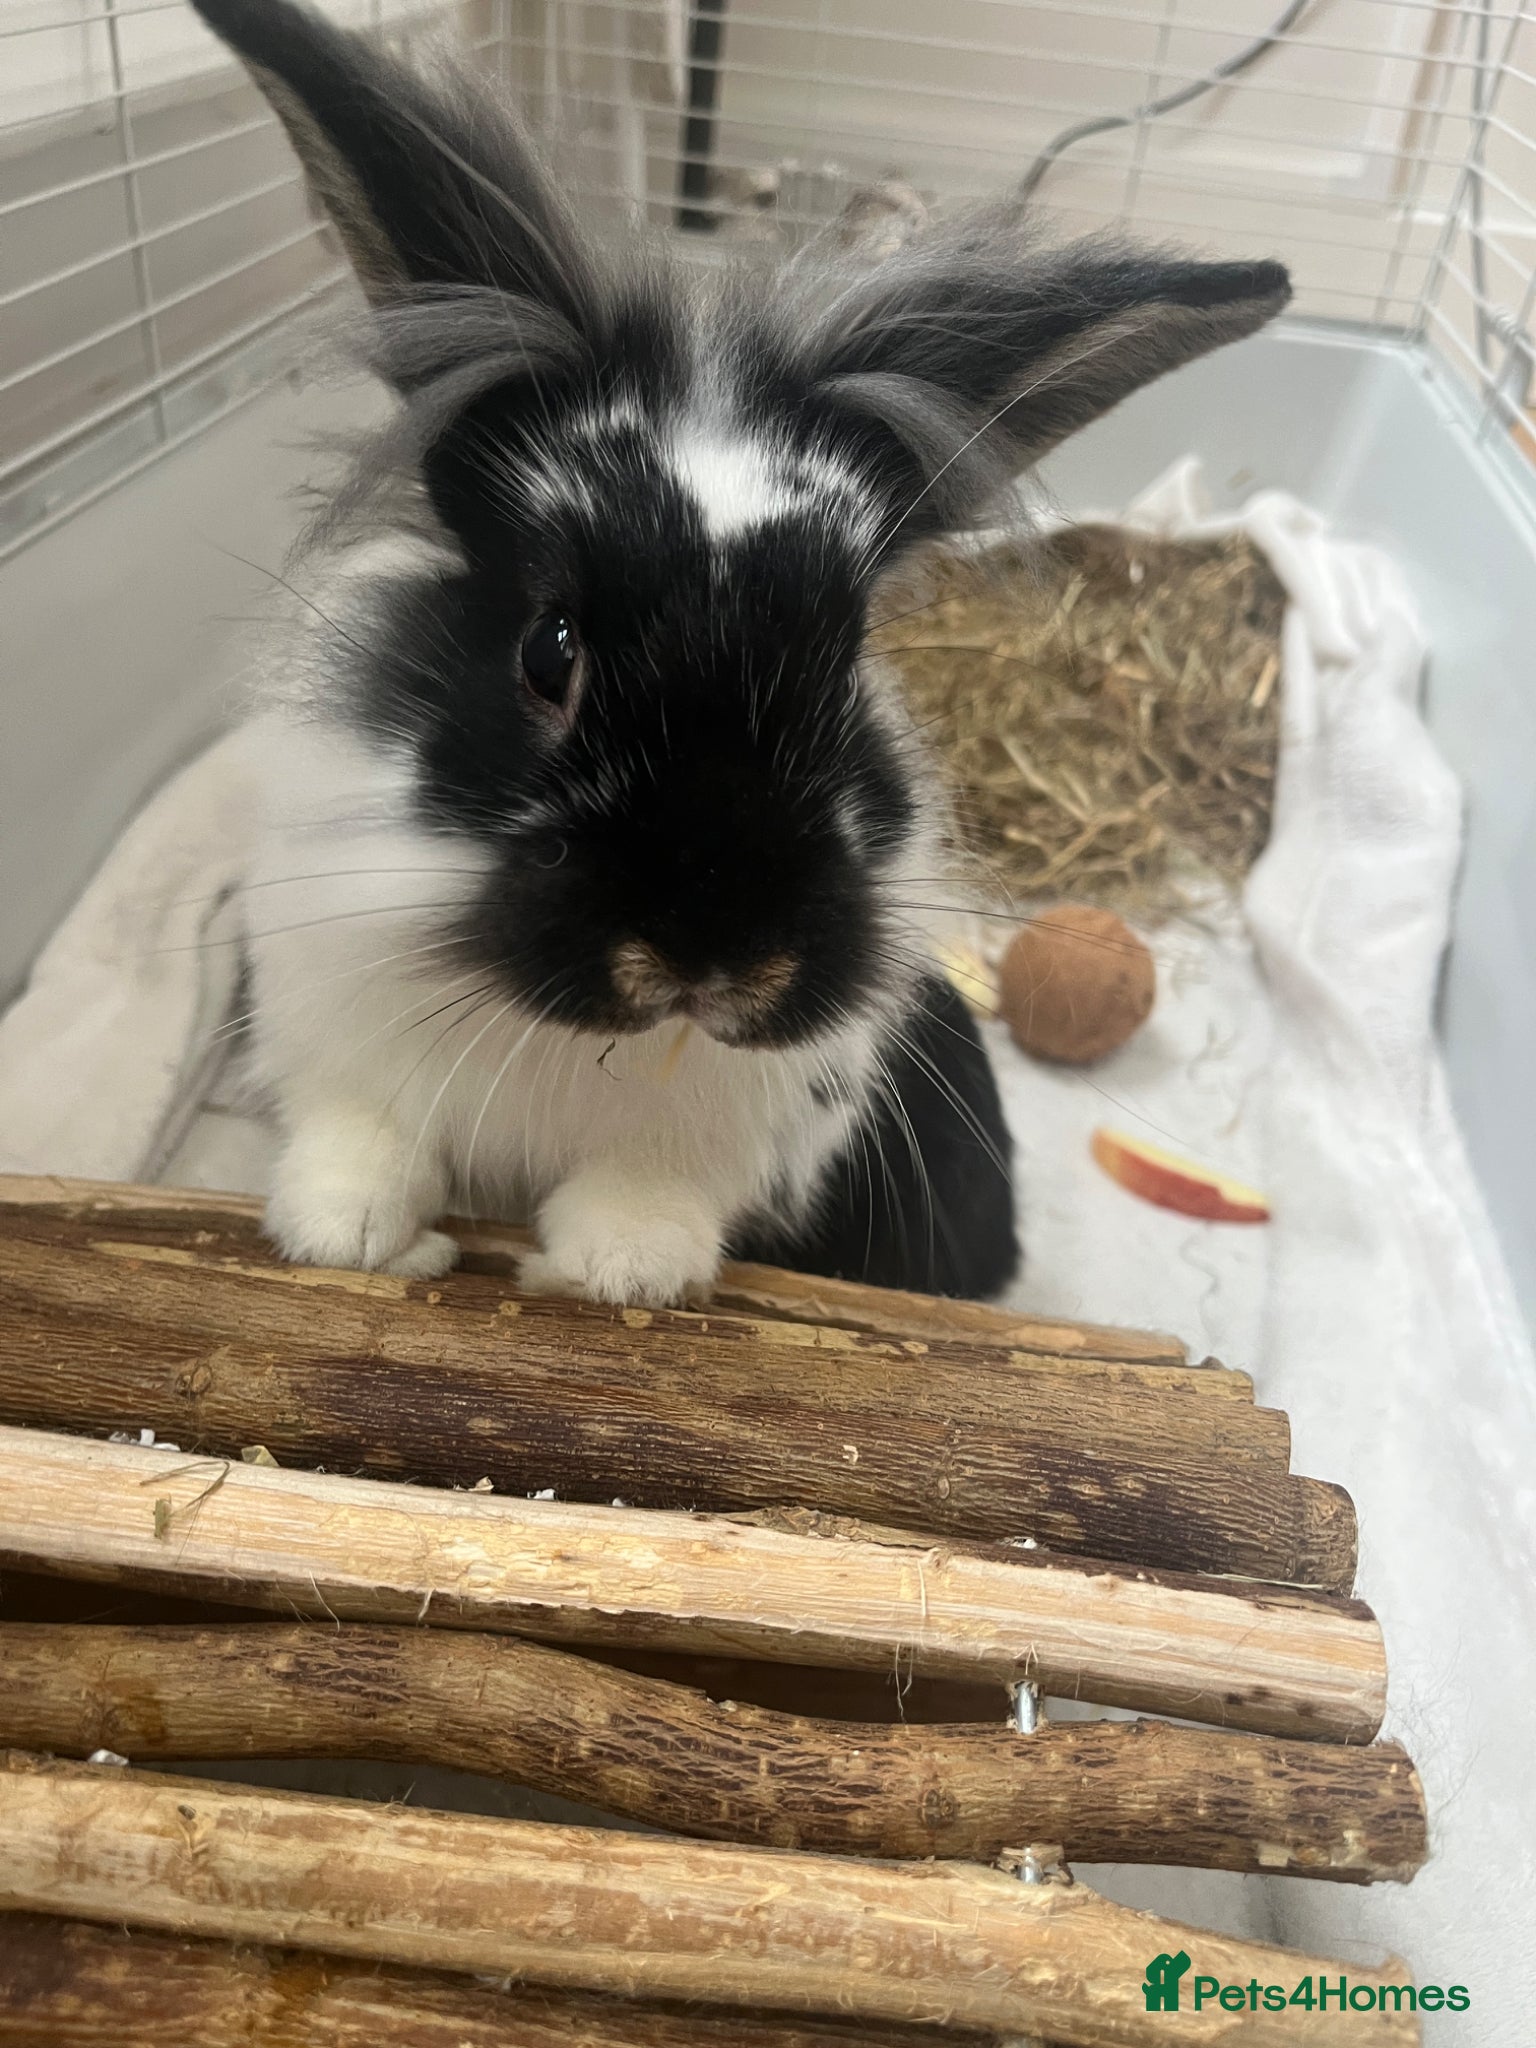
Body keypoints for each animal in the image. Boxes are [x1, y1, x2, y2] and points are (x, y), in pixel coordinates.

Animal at [191, 0, 1290, 1307]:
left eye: (847, 662)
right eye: (547, 650)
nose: (715, 954)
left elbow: (656, 1191)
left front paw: (620, 1265)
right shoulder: (326, 1000)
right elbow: (360, 1134)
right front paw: (342, 1232)